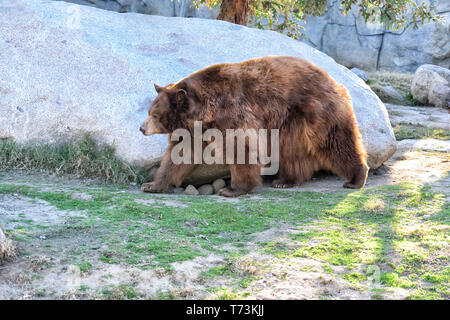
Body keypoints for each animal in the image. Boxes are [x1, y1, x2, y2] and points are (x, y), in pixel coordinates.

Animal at [141, 55, 370, 196]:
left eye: (155, 114)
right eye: (149, 111)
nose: (141, 128)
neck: (205, 112)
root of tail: (334, 79)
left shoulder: (232, 113)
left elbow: (241, 148)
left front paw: (232, 189)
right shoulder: (194, 132)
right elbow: (179, 155)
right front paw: (152, 184)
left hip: (316, 111)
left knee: (335, 141)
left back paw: (356, 177)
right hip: (291, 124)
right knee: (291, 152)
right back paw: (285, 180)